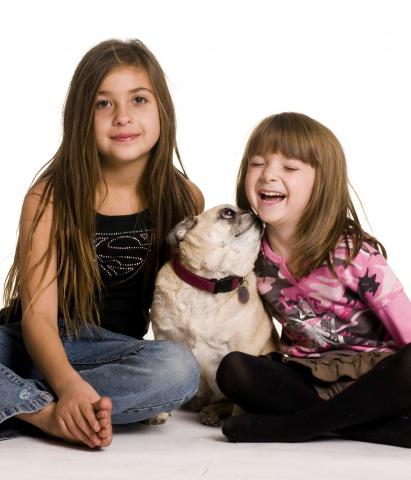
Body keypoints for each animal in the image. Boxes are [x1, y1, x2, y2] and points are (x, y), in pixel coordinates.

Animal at [150, 204, 278, 426]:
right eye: (228, 212)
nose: (253, 213)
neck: (211, 283)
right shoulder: (165, 339)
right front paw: (159, 412)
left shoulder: (242, 349)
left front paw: (238, 419)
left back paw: (213, 412)